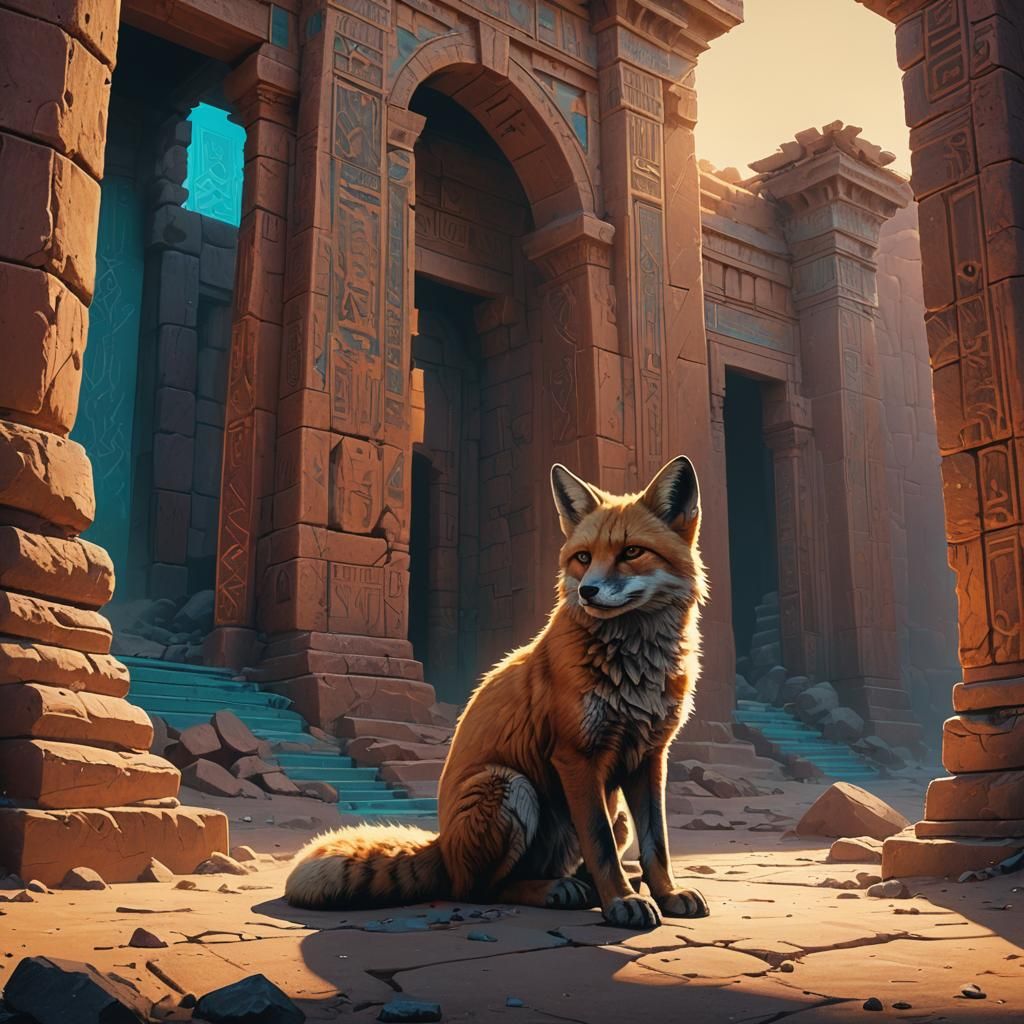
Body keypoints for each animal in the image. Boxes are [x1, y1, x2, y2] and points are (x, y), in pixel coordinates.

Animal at [285, 455, 710, 929]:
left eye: (631, 552)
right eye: (583, 558)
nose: (587, 591)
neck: (635, 669)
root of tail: (443, 847)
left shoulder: (650, 757)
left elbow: (658, 845)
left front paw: (665, 893)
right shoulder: (576, 756)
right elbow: (600, 845)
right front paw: (620, 901)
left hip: (611, 810)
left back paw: (587, 884)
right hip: (509, 786)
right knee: (482, 889)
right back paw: (559, 890)